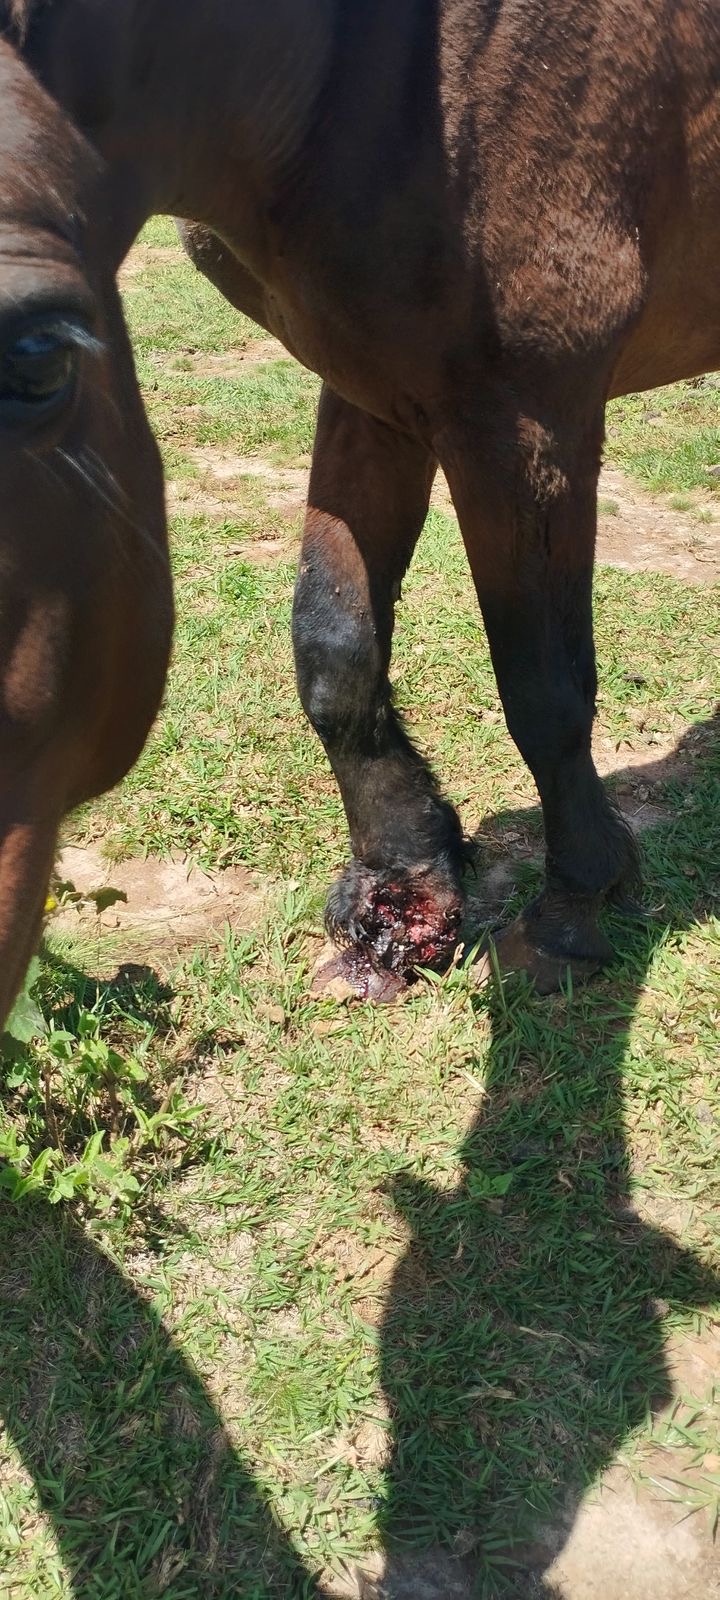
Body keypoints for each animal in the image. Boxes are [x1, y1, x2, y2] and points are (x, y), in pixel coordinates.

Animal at [1, 0, 720, 1017]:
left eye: (37, 355)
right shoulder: (373, 391)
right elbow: (335, 651)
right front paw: (402, 893)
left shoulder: (527, 424)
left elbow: (544, 690)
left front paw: (576, 903)